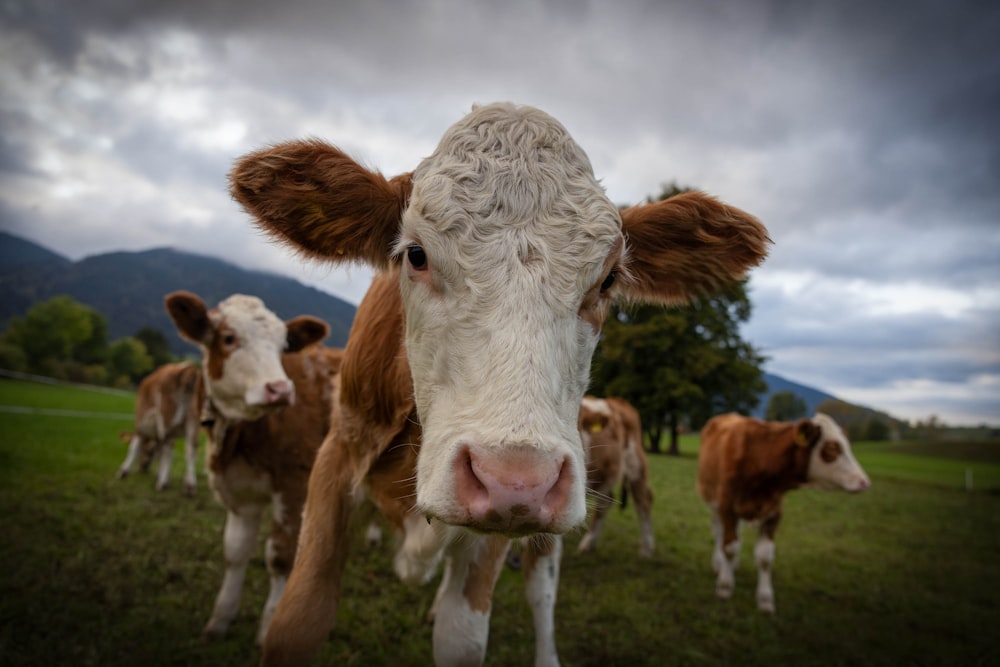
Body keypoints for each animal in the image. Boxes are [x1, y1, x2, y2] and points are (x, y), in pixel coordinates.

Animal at [116, 362, 204, 494]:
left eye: (146, 452)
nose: (143, 468)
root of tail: (189, 367)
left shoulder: (140, 426)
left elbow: (134, 446)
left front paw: (123, 472)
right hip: (192, 420)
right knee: (191, 448)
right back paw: (189, 486)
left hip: (167, 418)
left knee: (168, 447)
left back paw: (162, 483)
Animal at [162, 294, 338, 648]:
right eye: (229, 338)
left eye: (284, 346)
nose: (280, 390)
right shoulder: (239, 494)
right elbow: (235, 553)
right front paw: (220, 620)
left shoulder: (294, 486)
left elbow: (280, 557)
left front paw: (269, 629)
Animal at [580, 396, 656, 560]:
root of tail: (619, 401)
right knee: (605, 502)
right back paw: (588, 544)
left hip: (636, 466)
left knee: (643, 501)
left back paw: (647, 549)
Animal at [700, 412, 872, 616]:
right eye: (831, 448)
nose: (864, 482)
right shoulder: (727, 507)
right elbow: (729, 547)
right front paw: (725, 586)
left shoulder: (774, 513)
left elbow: (765, 556)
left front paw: (765, 599)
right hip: (712, 500)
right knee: (719, 533)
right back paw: (719, 563)